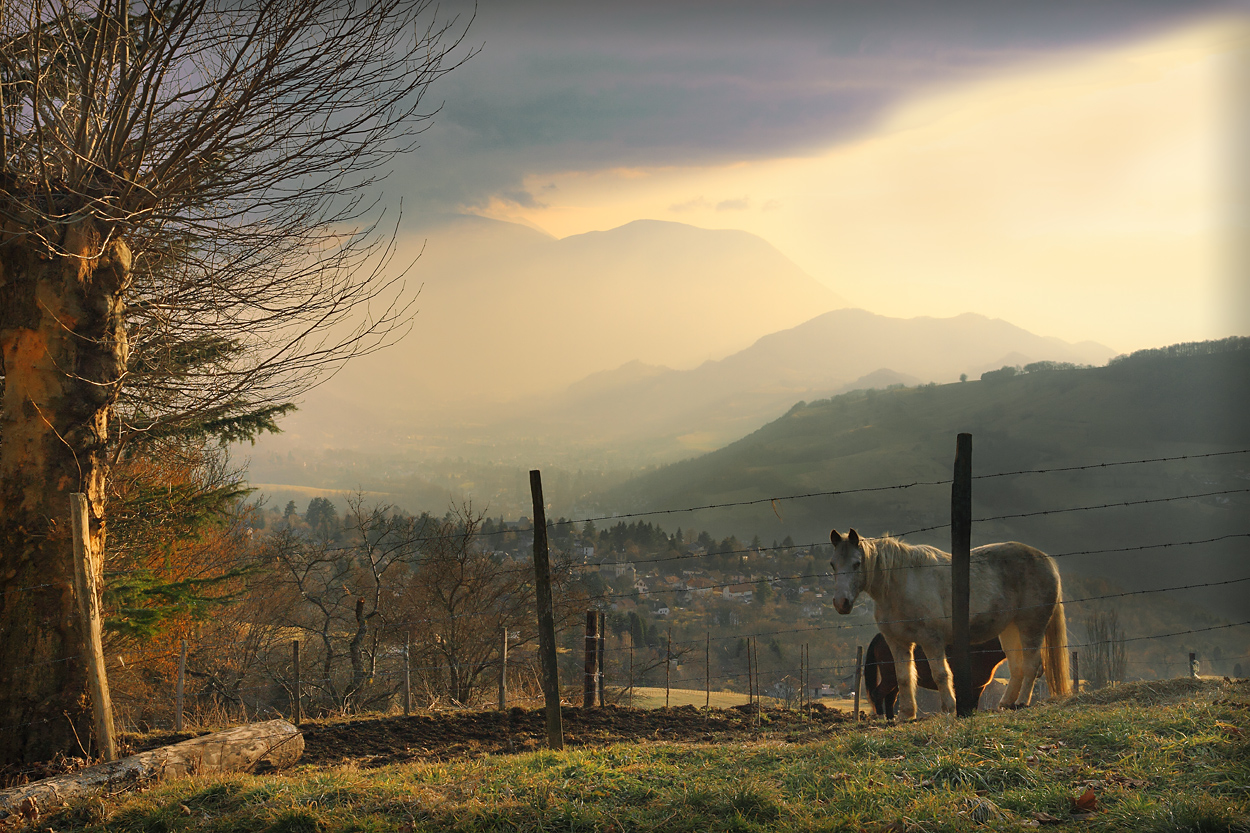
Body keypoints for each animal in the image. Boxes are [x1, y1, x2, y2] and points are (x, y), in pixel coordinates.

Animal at [865, 630, 1010, 715]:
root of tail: (880, 636)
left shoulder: (978, 687)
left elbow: (973, 706)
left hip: (895, 680)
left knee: (890, 699)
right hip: (889, 678)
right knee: (877, 694)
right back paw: (881, 717)